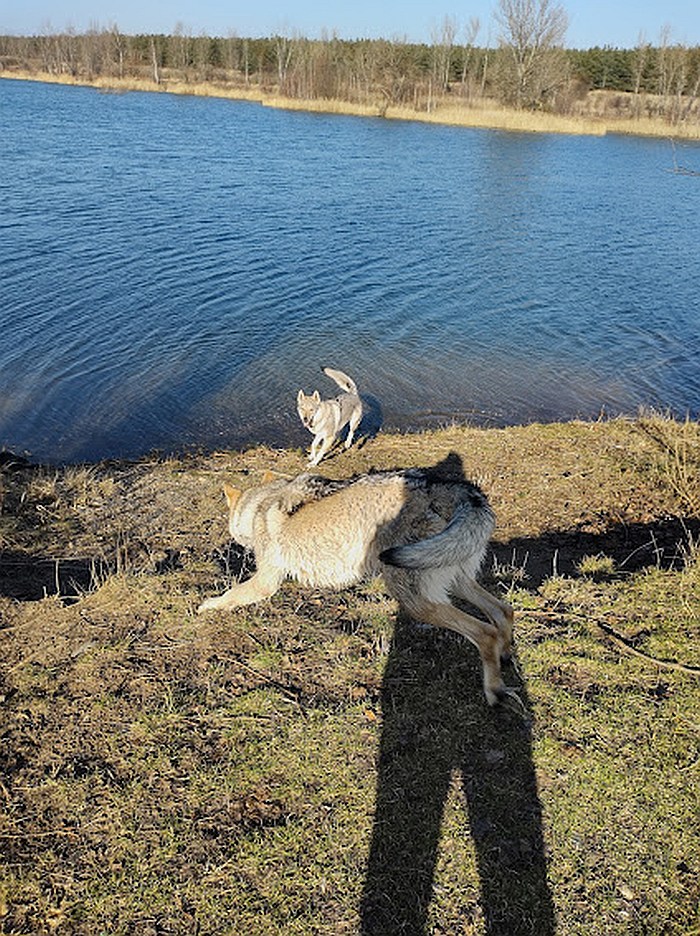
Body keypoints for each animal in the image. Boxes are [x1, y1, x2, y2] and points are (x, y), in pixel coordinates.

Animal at [197, 464, 516, 704]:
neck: (260, 507)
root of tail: (454, 488)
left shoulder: (265, 583)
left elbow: (230, 594)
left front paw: (207, 606)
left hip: (417, 602)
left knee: (485, 632)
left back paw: (495, 691)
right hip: (453, 581)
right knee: (503, 611)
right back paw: (506, 656)